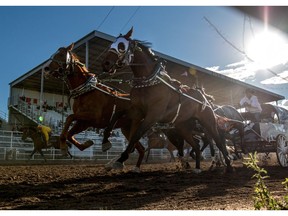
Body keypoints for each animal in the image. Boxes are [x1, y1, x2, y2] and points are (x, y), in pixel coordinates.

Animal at [102, 27, 233, 173]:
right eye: (111, 44)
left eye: (121, 46)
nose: (105, 63)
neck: (149, 83)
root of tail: (204, 97)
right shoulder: (137, 111)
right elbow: (117, 116)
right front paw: (106, 142)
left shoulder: (153, 115)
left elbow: (136, 134)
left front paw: (121, 159)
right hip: (183, 127)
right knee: (197, 145)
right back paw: (197, 167)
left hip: (208, 123)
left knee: (218, 142)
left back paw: (227, 165)